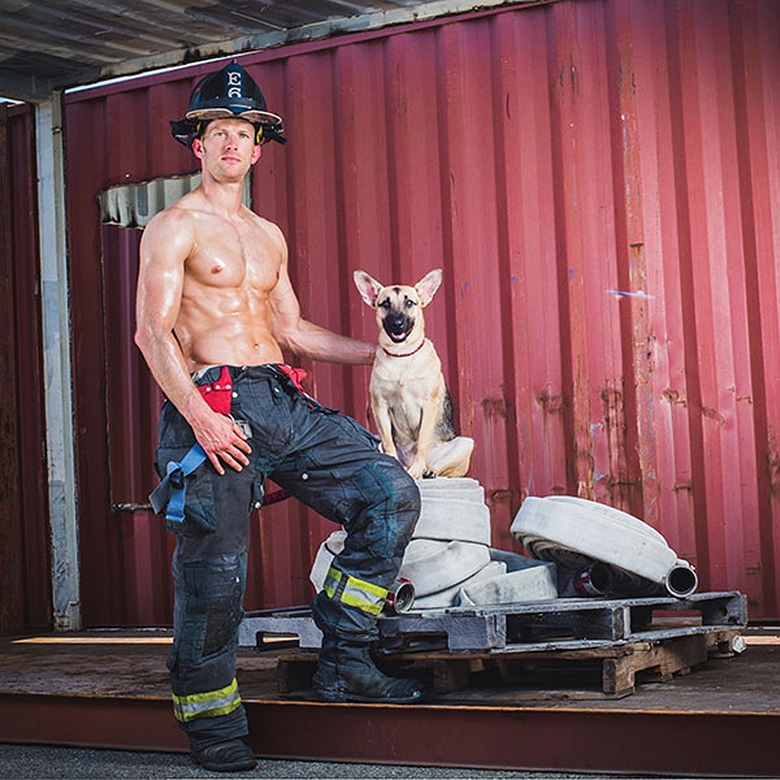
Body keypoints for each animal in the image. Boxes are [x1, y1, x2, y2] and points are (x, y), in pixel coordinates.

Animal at [354, 270, 476, 482]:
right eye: (385, 304)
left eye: (410, 302)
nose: (397, 323)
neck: (402, 355)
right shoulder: (380, 406)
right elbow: (389, 443)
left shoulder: (428, 405)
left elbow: (421, 443)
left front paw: (418, 470)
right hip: (377, 440)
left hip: (465, 444)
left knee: (444, 468)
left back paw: (428, 470)